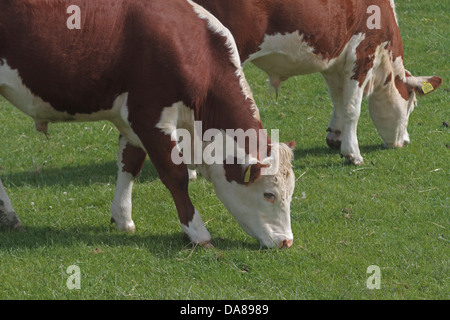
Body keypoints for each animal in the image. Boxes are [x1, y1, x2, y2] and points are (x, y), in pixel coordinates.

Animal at [0, 0, 298, 249]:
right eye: (269, 194)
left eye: (291, 193)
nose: (286, 242)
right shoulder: (150, 117)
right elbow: (176, 176)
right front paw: (197, 232)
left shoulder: (132, 119)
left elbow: (130, 163)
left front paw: (122, 217)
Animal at [194, 0, 442, 165]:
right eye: (412, 105)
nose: (405, 141)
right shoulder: (362, 52)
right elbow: (353, 108)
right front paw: (352, 153)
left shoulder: (334, 57)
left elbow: (338, 99)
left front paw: (336, 136)